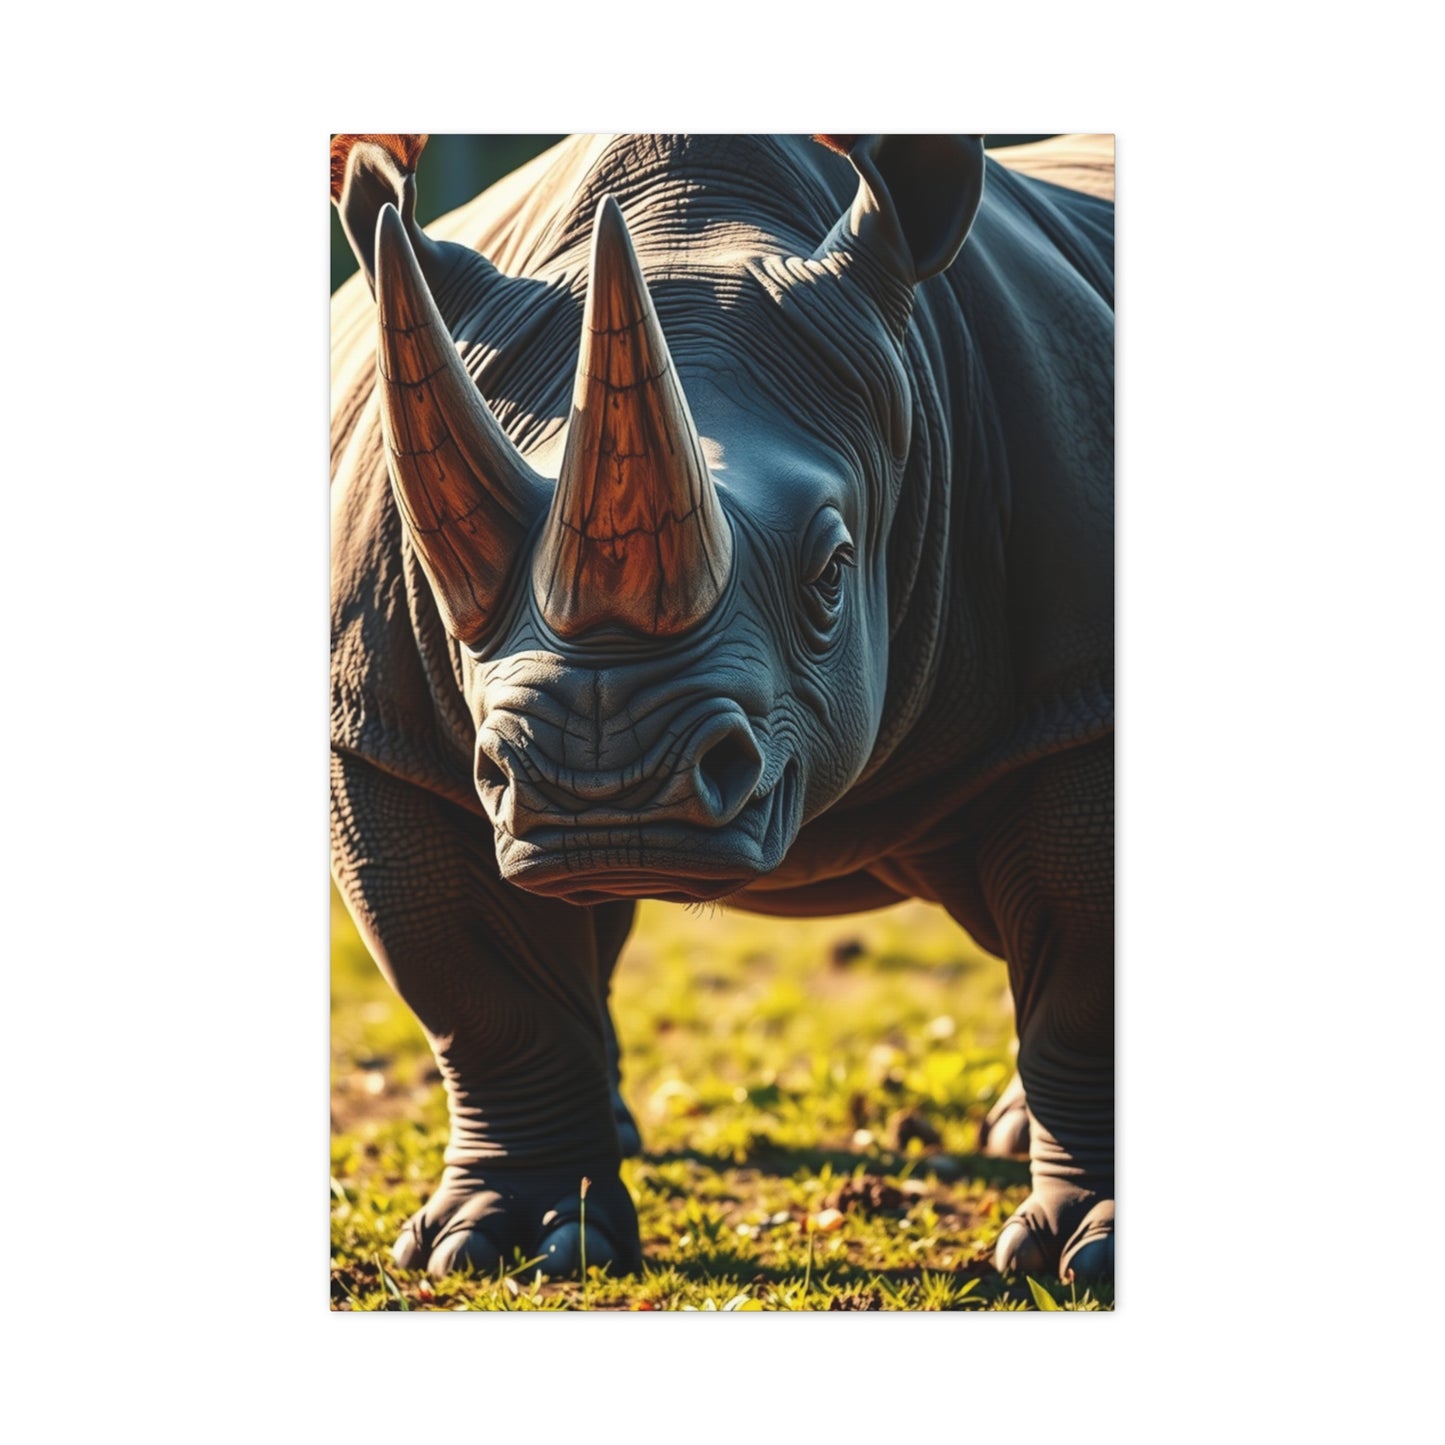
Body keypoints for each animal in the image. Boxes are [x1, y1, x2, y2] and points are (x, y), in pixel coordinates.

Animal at [329, 133, 1114, 1284]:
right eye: (444, 579)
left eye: (832, 568)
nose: (602, 792)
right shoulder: (381, 733)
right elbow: (482, 990)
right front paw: (500, 1244)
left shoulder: (1079, 690)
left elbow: (1082, 969)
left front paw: (1087, 1254)